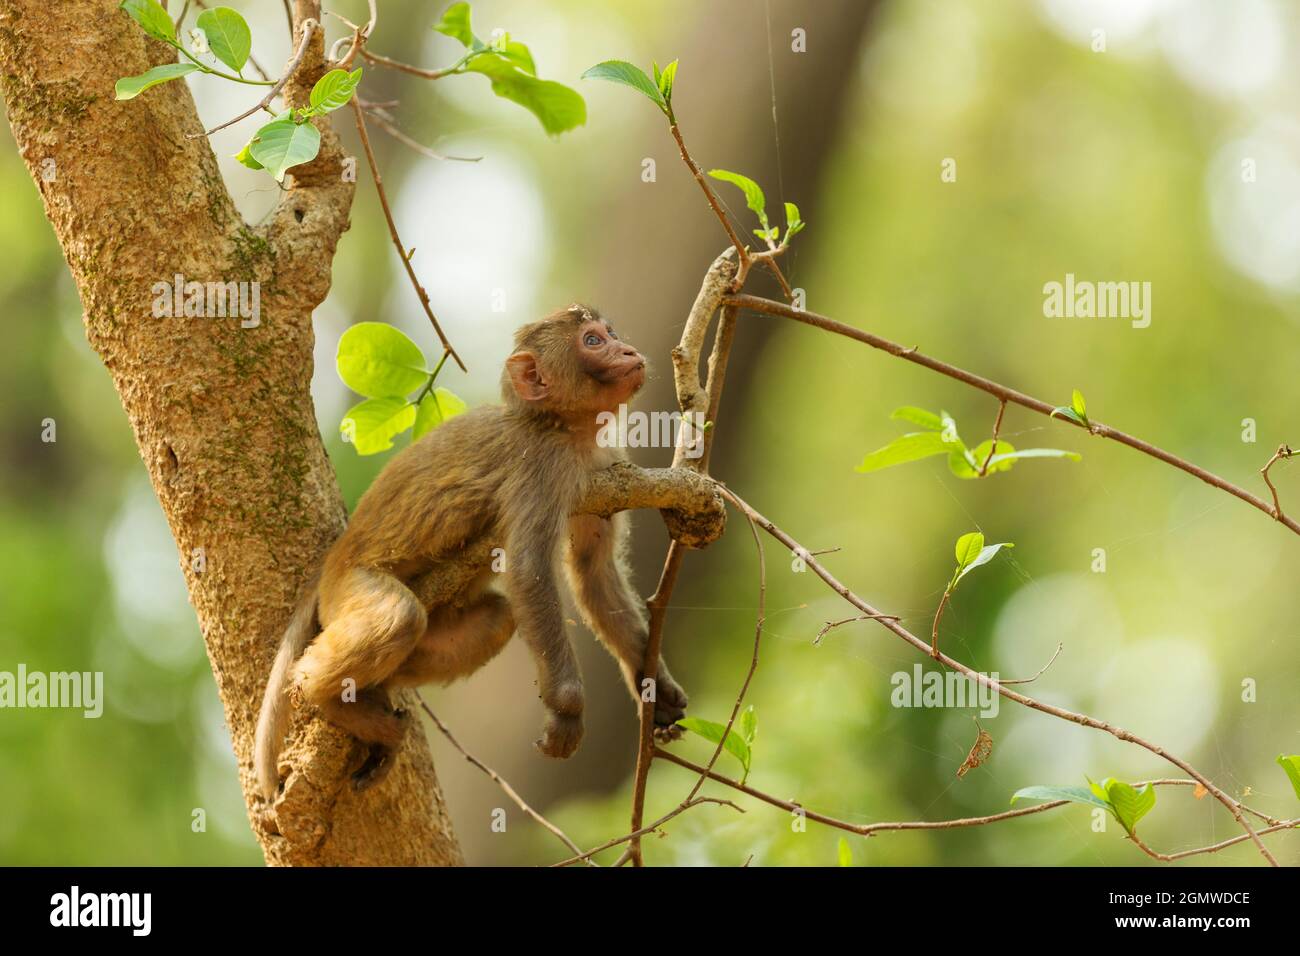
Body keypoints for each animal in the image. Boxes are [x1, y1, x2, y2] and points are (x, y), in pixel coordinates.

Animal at [254, 305, 689, 799]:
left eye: (610, 333)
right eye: (593, 342)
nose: (628, 350)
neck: (561, 426)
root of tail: (333, 559)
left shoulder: (601, 466)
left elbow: (593, 573)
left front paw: (654, 686)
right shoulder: (543, 466)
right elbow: (529, 570)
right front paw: (567, 711)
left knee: (497, 616)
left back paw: (367, 698)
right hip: (348, 589)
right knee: (401, 617)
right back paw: (317, 690)